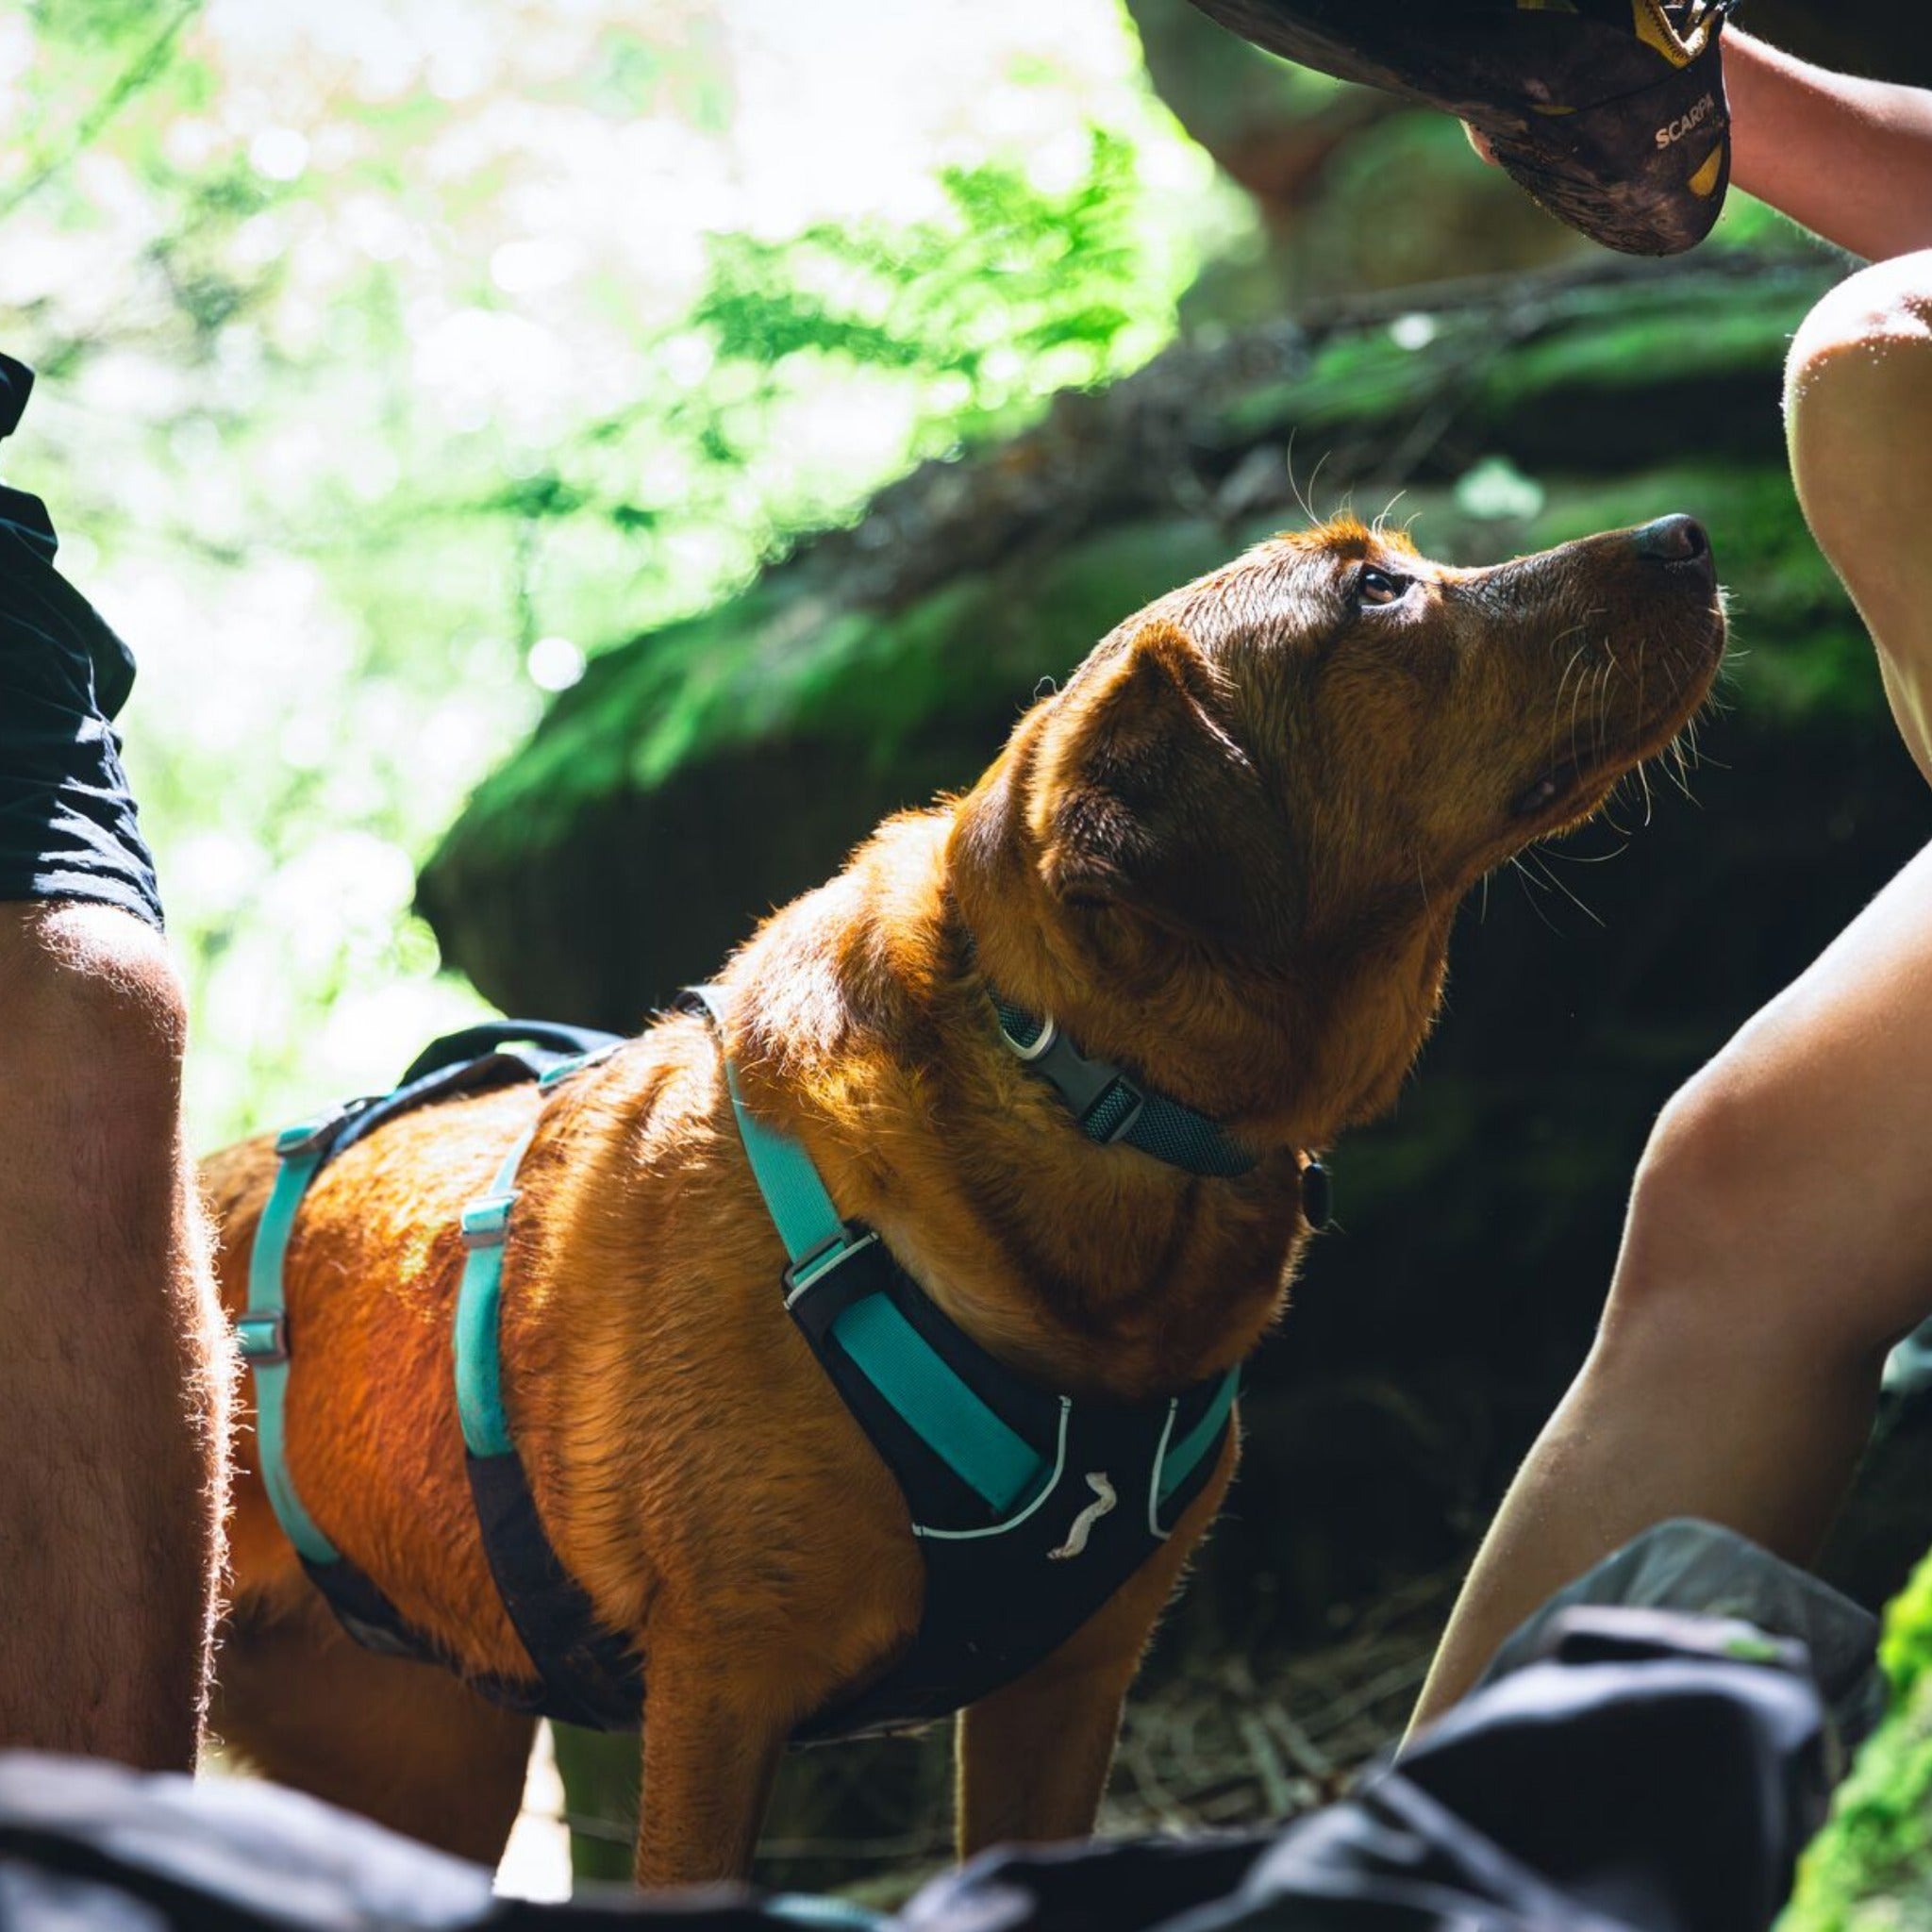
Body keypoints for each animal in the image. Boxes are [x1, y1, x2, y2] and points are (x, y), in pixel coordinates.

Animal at [204, 513, 1731, 1885]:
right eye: (1376, 589)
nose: (1686, 533)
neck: (1074, 1087)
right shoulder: (716, 1696)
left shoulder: (1064, 1689)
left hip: (413, 1756)